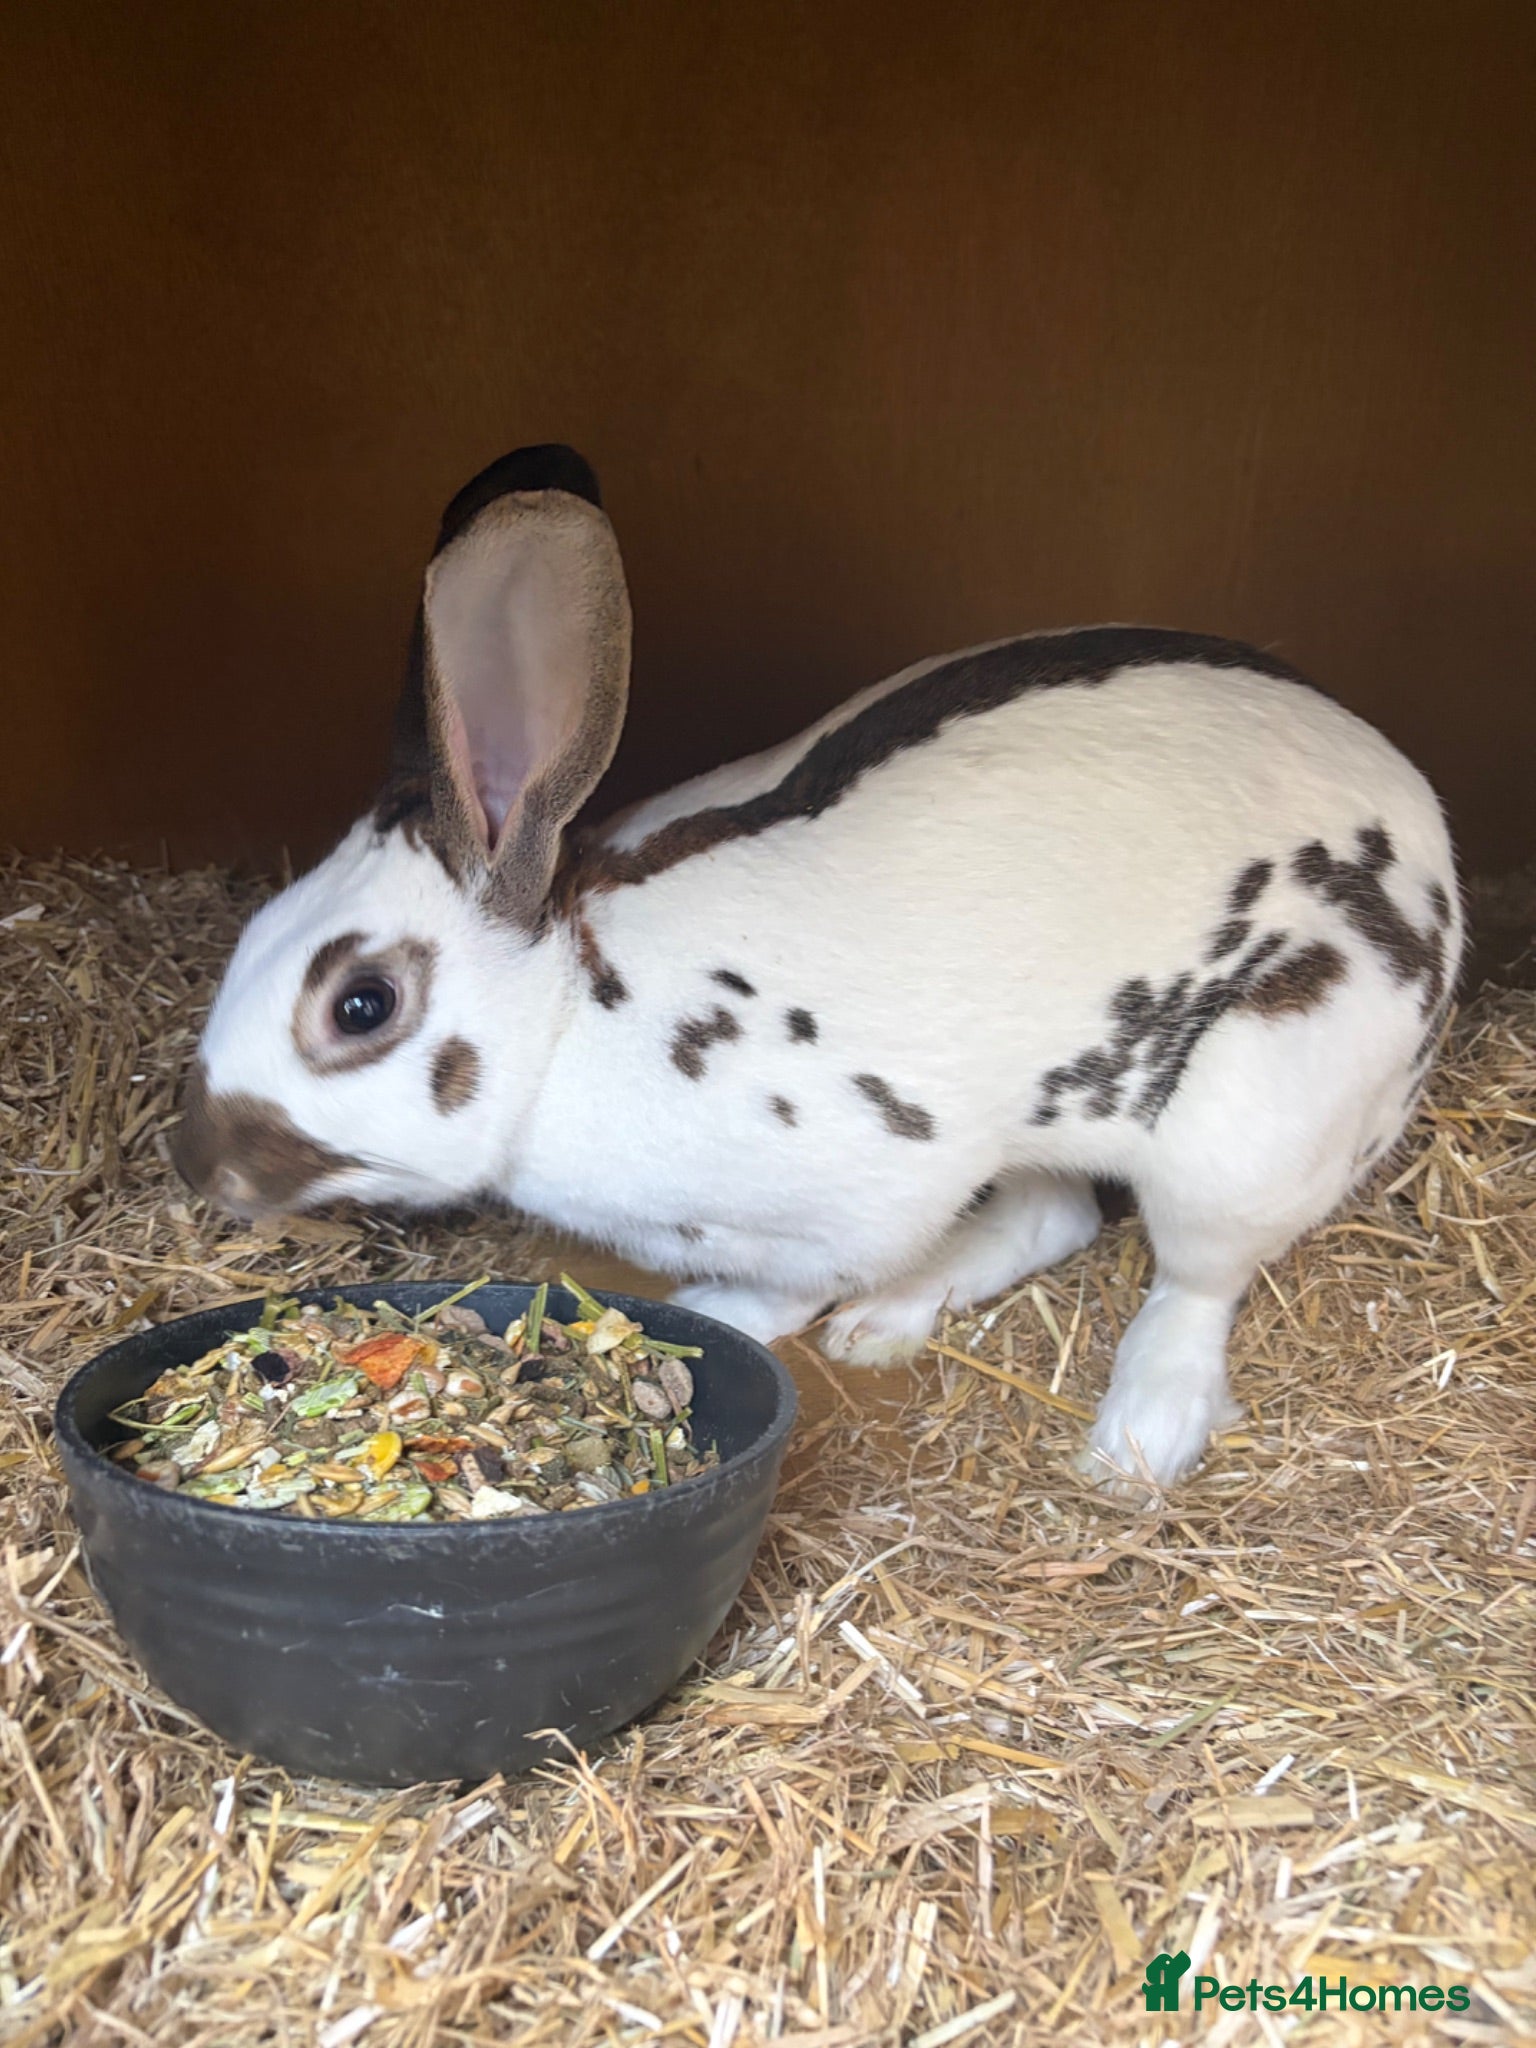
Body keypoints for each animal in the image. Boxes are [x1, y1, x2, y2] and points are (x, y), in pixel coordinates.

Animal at [172, 444, 1463, 1491]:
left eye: (362, 1003)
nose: (198, 1163)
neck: (570, 1014)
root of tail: (1428, 832)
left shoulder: (848, 1200)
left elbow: (787, 1288)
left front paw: (711, 1313)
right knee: (1052, 1214)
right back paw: (890, 1323)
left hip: (1246, 1120)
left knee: (1197, 1279)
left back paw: (1137, 1439)